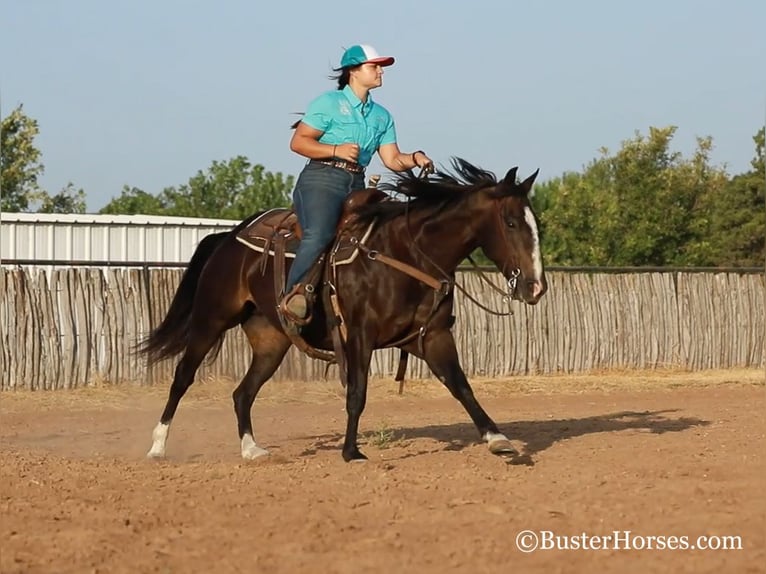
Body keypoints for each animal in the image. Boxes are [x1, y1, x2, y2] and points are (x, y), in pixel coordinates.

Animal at [141, 158, 548, 464]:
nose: (536, 287)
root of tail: (227, 238)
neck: (405, 253)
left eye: (536, 225)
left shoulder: (433, 337)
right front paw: (352, 452)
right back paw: (157, 446)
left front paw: (498, 439)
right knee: (182, 377)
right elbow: (357, 393)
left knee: (243, 392)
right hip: (211, 320)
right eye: (511, 222)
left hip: (272, 341)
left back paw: (251, 449)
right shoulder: (360, 335)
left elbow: (461, 386)